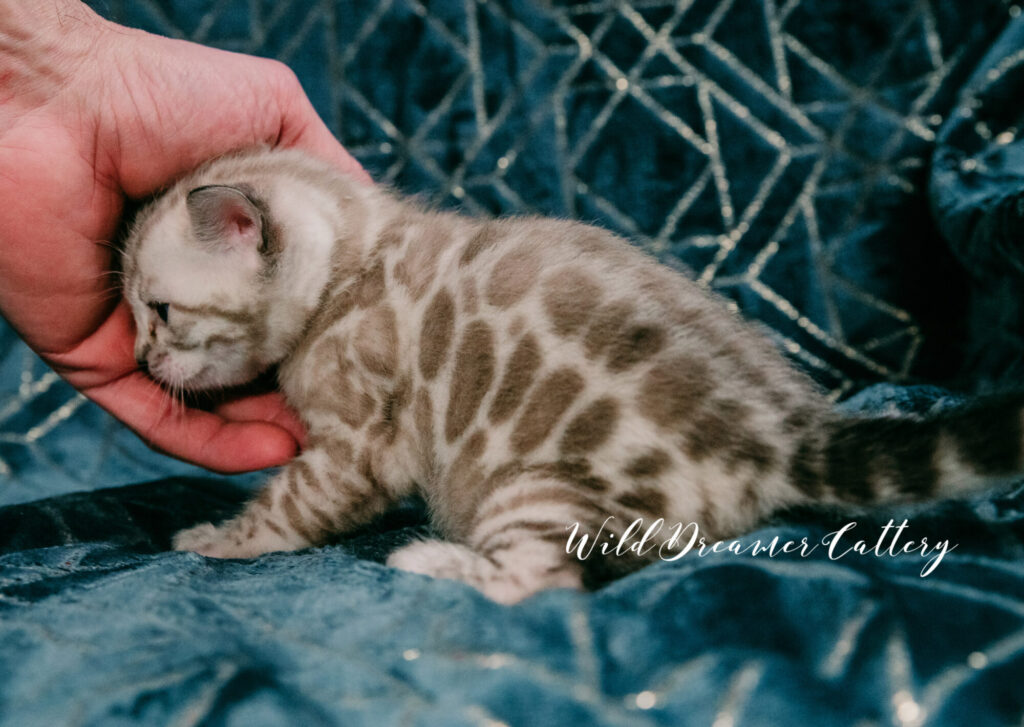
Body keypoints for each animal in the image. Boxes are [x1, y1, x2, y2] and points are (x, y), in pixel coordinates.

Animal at [121, 146, 1024, 602]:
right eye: (133, 313)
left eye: (158, 309)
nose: (139, 357)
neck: (357, 262)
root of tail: (785, 429)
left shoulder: (355, 445)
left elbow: (285, 508)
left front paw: (218, 540)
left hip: (534, 484)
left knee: (544, 580)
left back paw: (429, 563)